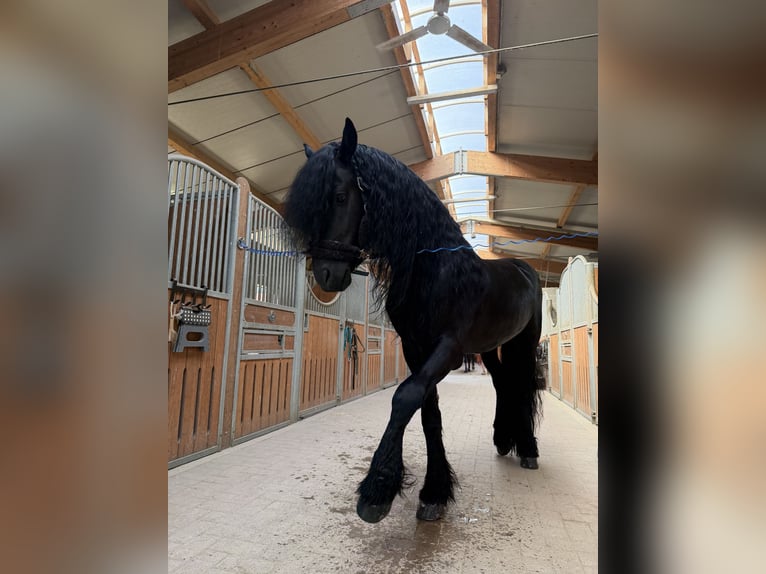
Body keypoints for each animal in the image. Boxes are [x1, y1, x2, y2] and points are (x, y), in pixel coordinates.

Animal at [284, 118, 543, 524]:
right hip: (490, 349)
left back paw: (528, 449)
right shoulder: (416, 347)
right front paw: (434, 492)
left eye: (340, 196)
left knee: (524, 383)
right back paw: (503, 440)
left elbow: (405, 397)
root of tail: (523, 269)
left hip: (526, 341)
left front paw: (377, 490)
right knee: (504, 385)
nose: (325, 274)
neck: (436, 269)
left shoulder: (448, 349)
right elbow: (427, 412)